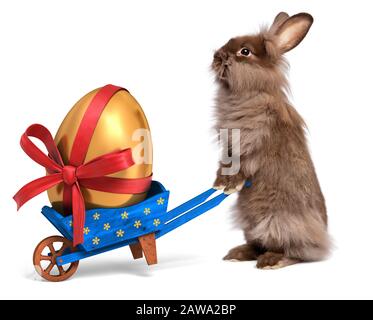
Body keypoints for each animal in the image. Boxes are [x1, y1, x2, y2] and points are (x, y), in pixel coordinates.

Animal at [211, 11, 330, 268]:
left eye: (245, 51)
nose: (216, 56)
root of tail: (321, 241)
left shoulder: (254, 143)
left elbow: (243, 166)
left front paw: (230, 185)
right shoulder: (228, 145)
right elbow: (225, 163)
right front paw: (219, 183)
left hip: (279, 222)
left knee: (295, 252)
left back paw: (272, 261)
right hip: (250, 223)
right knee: (258, 244)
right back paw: (238, 254)